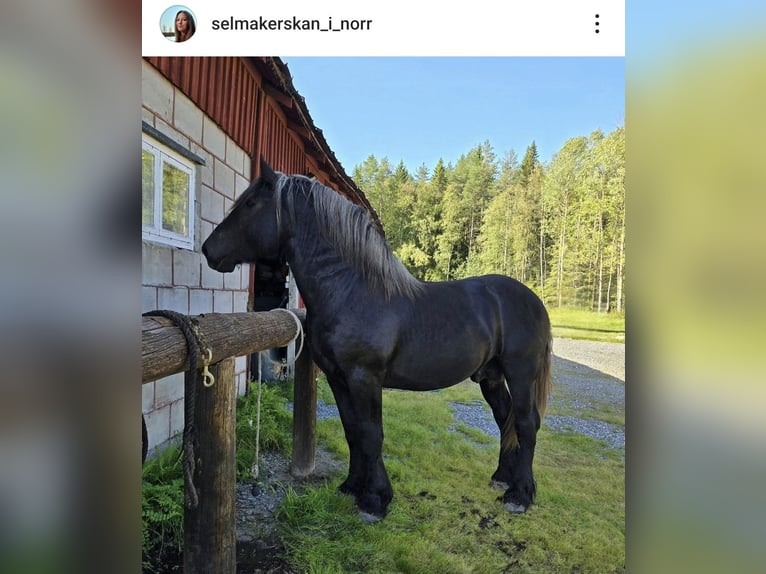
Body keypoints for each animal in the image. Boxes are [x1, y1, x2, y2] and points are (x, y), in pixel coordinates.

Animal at [204, 160, 552, 524]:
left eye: (250, 204)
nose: (208, 250)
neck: (352, 290)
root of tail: (534, 301)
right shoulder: (338, 378)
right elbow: (353, 431)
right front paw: (352, 487)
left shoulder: (364, 378)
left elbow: (371, 435)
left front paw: (374, 500)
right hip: (491, 376)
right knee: (505, 419)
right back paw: (502, 478)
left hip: (521, 374)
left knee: (526, 423)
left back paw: (519, 495)